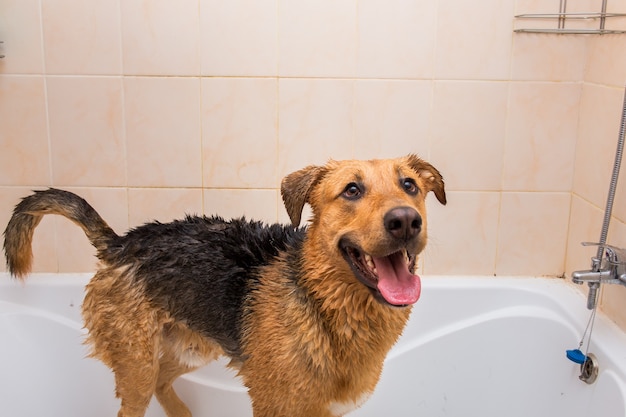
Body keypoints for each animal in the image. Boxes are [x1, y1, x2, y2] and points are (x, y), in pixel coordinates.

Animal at [3, 155, 444, 416]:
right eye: (352, 190)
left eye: (410, 186)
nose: (405, 221)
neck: (325, 308)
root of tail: (121, 243)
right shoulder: (276, 407)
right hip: (136, 366)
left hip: (192, 347)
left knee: (164, 382)